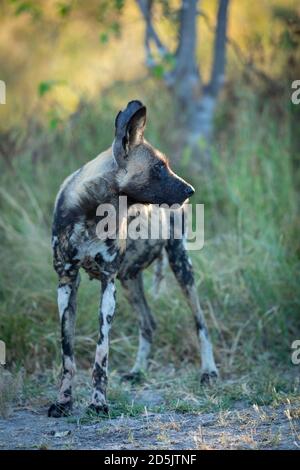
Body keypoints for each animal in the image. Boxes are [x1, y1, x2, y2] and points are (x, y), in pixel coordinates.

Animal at [48, 100, 218, 418]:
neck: (90, 213)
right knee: (149, 323)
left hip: (180, 266)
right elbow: (67, 355)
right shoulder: (66, 282)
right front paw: (63, 402)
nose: (190, 190)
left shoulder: (108, 283)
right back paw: (138, 371)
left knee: (200, 322)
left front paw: (98, 403)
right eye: (158, 167)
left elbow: (101, 355)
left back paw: (209, 372)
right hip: (129, 281)